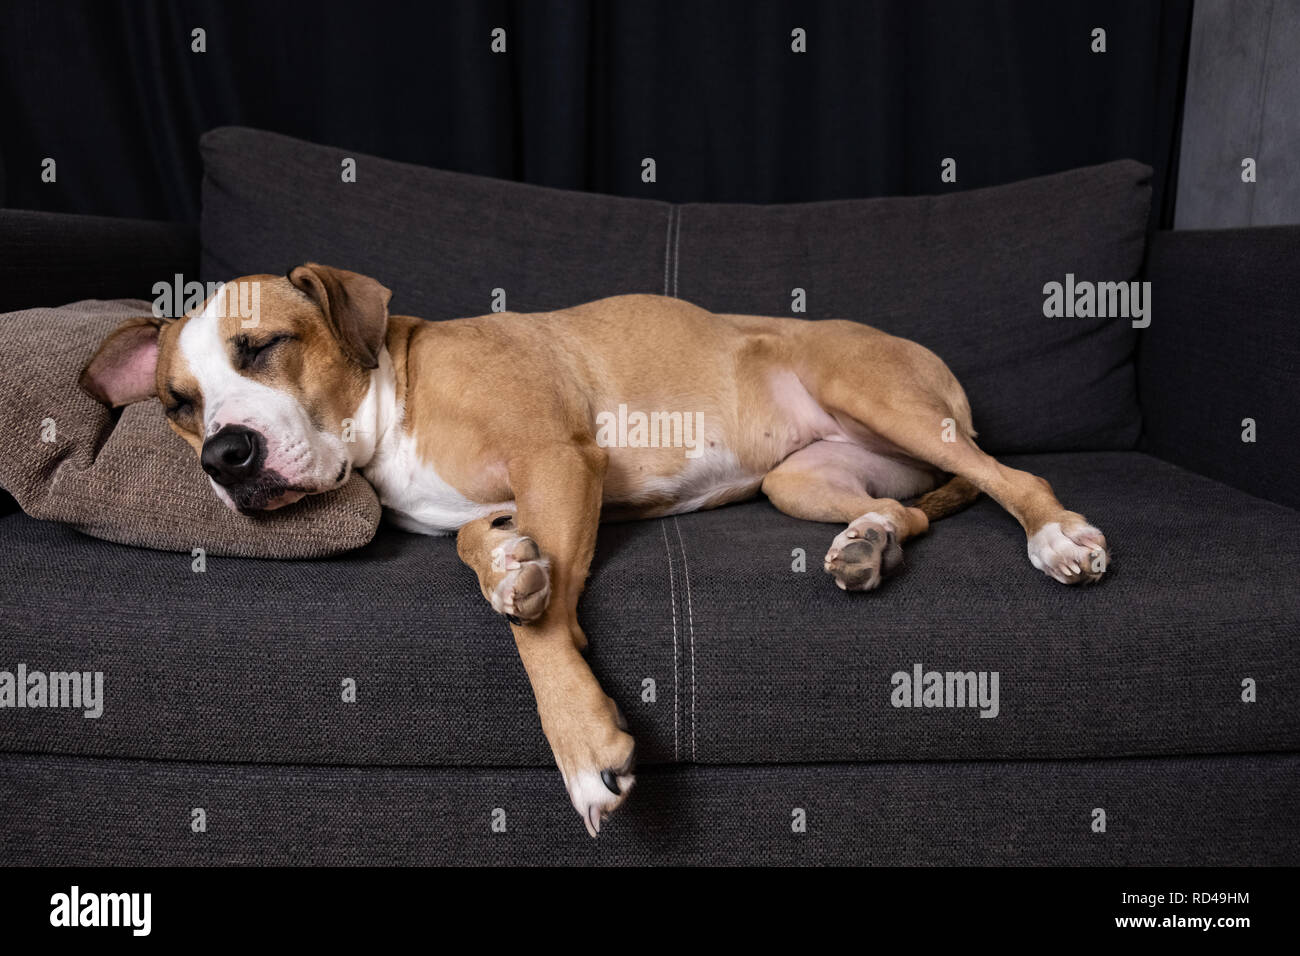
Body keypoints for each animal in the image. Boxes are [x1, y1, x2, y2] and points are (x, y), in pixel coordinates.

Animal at [81, 264, 1112, 837]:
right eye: (177, 404)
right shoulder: (504, 499)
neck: (388, 401)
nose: (224, 455)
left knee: (1008, 477)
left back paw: (1057, 535)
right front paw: (509, 567)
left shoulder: (557, 460)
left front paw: (585, 747)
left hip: (877, 394)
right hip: (810, 476)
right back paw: (867, 542)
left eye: (262, 347)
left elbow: (538, 640)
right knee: (914, 510)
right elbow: (480, 546)